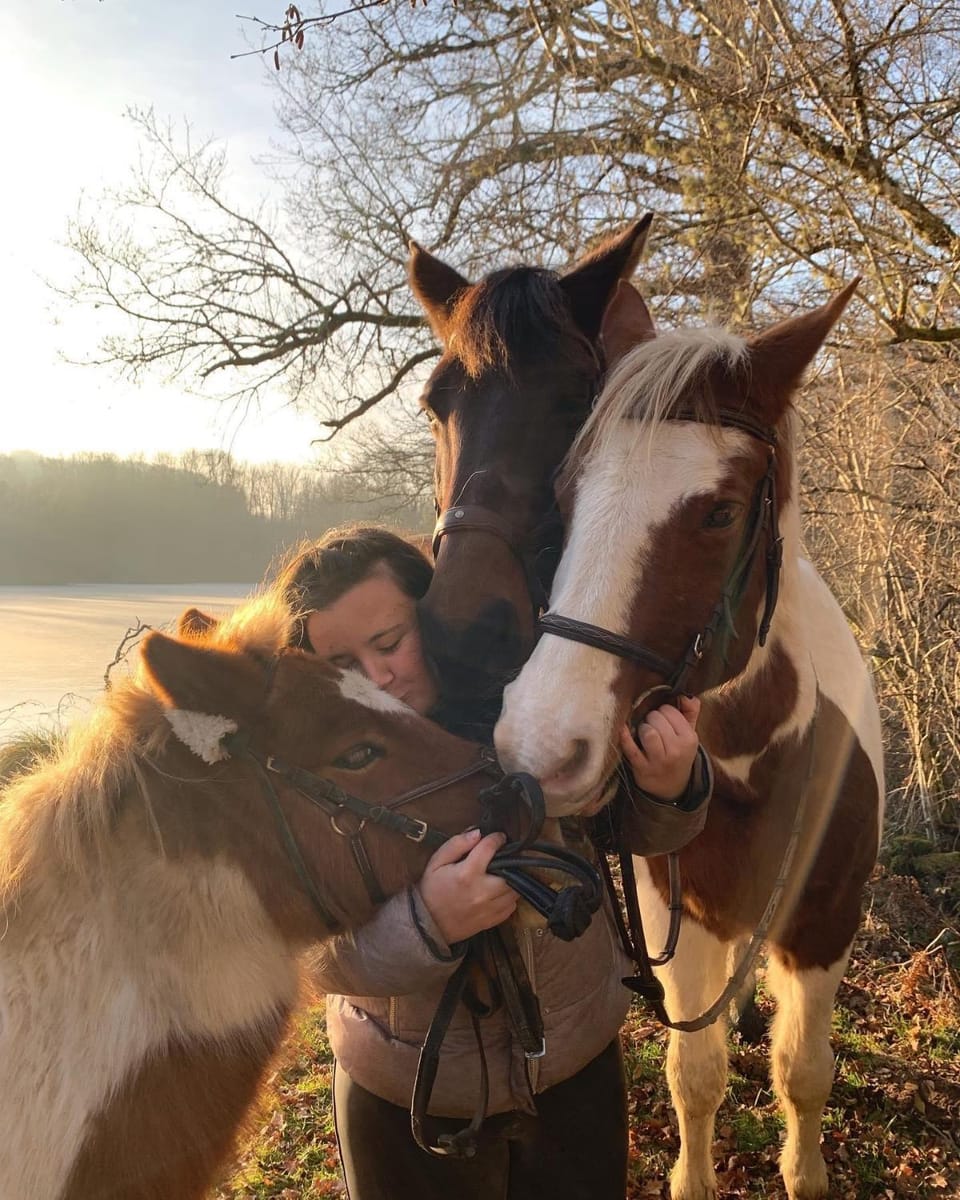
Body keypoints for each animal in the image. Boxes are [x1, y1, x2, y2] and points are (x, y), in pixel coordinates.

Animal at [494, 281, 884, 1200]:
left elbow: (805, 1073)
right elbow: (694, 1075)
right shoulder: (681, 920)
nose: (541, 743)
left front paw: (804, 1171)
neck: (758, 763)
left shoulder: (827, 923)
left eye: (720, 512)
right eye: (566, 496)